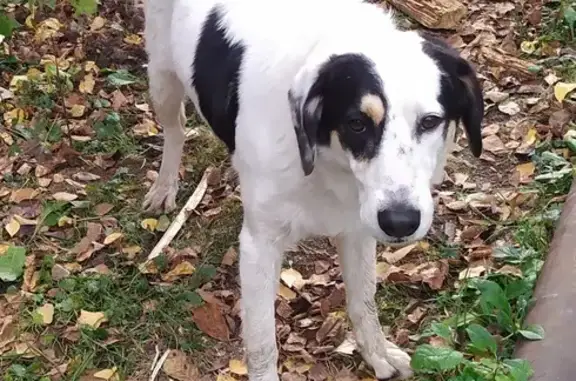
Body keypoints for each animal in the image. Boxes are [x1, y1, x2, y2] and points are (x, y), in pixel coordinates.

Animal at [140, 0, 482, 378]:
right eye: (356, 123)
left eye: (430, 122)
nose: (400, 222)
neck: (326, 159)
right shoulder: (259, 245)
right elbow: (262, 342)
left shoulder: (358, 228)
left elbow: (364, 302)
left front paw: (377, 354)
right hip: (161, 74)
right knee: (175, 127)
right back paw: (164, 186)